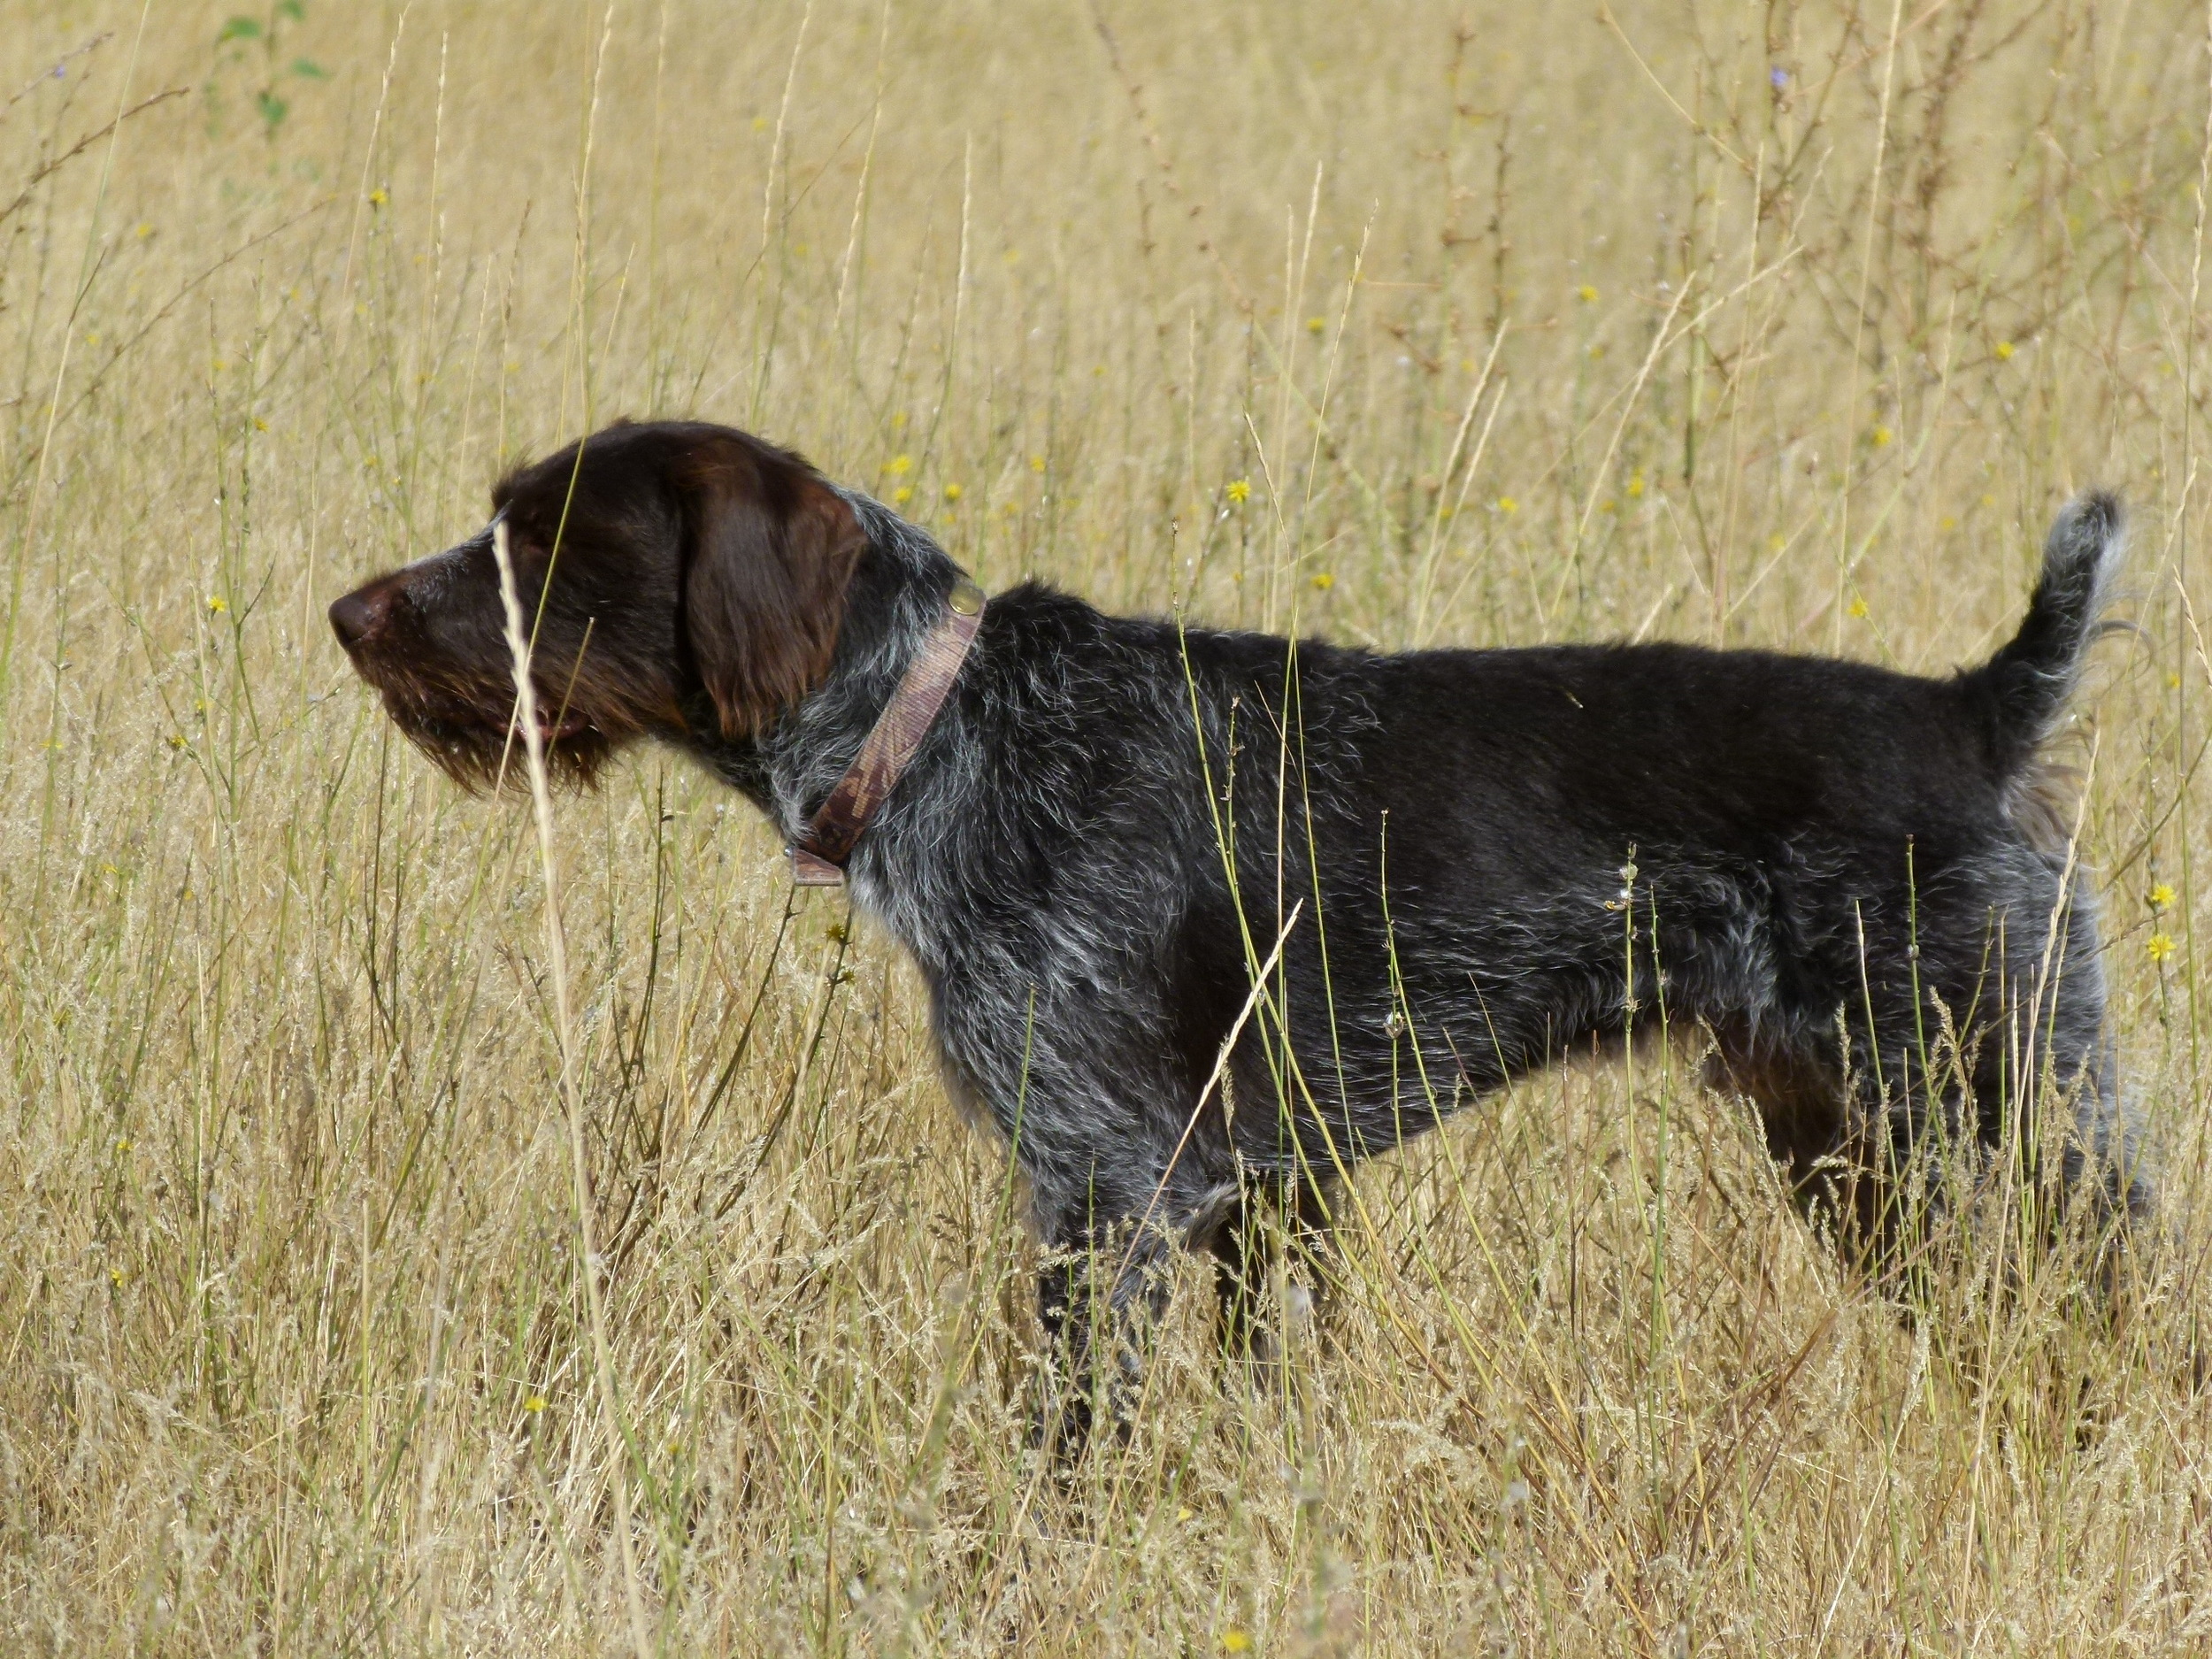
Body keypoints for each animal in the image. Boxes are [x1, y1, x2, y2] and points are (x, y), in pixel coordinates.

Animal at [336, 422, 2150, 1460]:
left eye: (541, 540)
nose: (347, 612)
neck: (945, 733)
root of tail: (1976, 710)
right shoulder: (1265, 1196)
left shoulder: (1111, 1188)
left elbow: (1072, 1448)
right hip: (1856, 1152)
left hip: (2007, 1109)